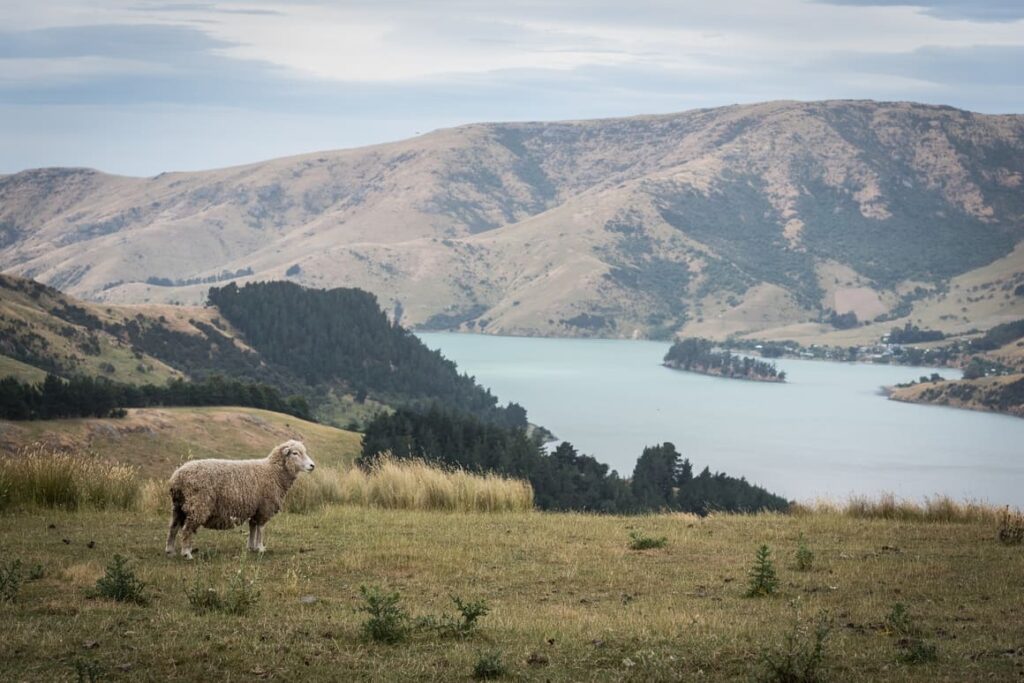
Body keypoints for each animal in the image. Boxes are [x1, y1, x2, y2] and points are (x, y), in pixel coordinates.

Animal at [163, 440, 313, 557]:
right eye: (295, 453)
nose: (312, 466)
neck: (273, 471)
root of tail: (177, 477)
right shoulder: (265, 507)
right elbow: (261, 529)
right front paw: (260, 548)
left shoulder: (256, 508)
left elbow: (253, 527)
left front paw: (251, 547)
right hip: (198, 505)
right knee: (186, 529)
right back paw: (186, 553)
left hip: (178, 506)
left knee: (173, 527)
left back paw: (170, 551)